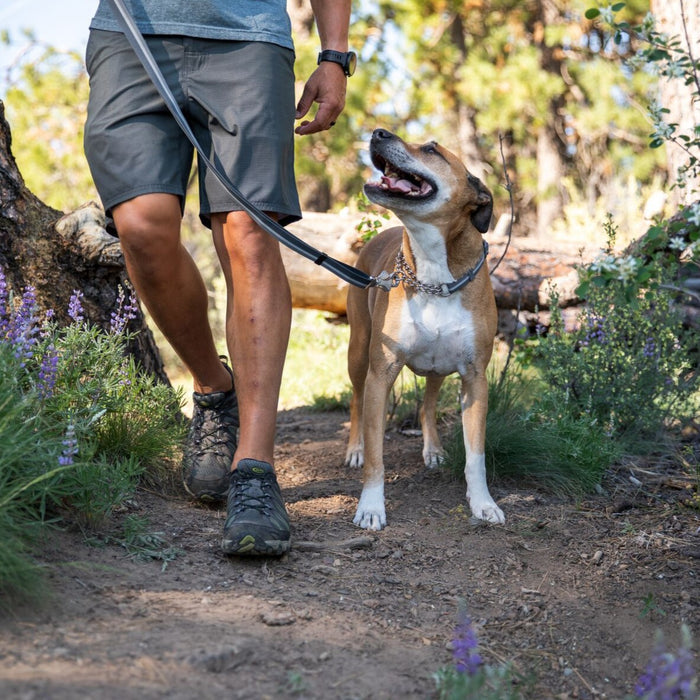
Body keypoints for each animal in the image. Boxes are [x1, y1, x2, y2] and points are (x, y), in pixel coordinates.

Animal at [344, 127, 504, 532]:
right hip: (358, 351)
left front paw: (482, 503)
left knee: (428, 404)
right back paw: (353, 448)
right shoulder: (380, 374)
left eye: (432, 149)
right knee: (355, 400)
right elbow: (376, 456)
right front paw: (371, 507)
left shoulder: (475, 379)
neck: (434, 274)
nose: (378, 132)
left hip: (438, 366)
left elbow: (476, 456)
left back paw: (432, 448)